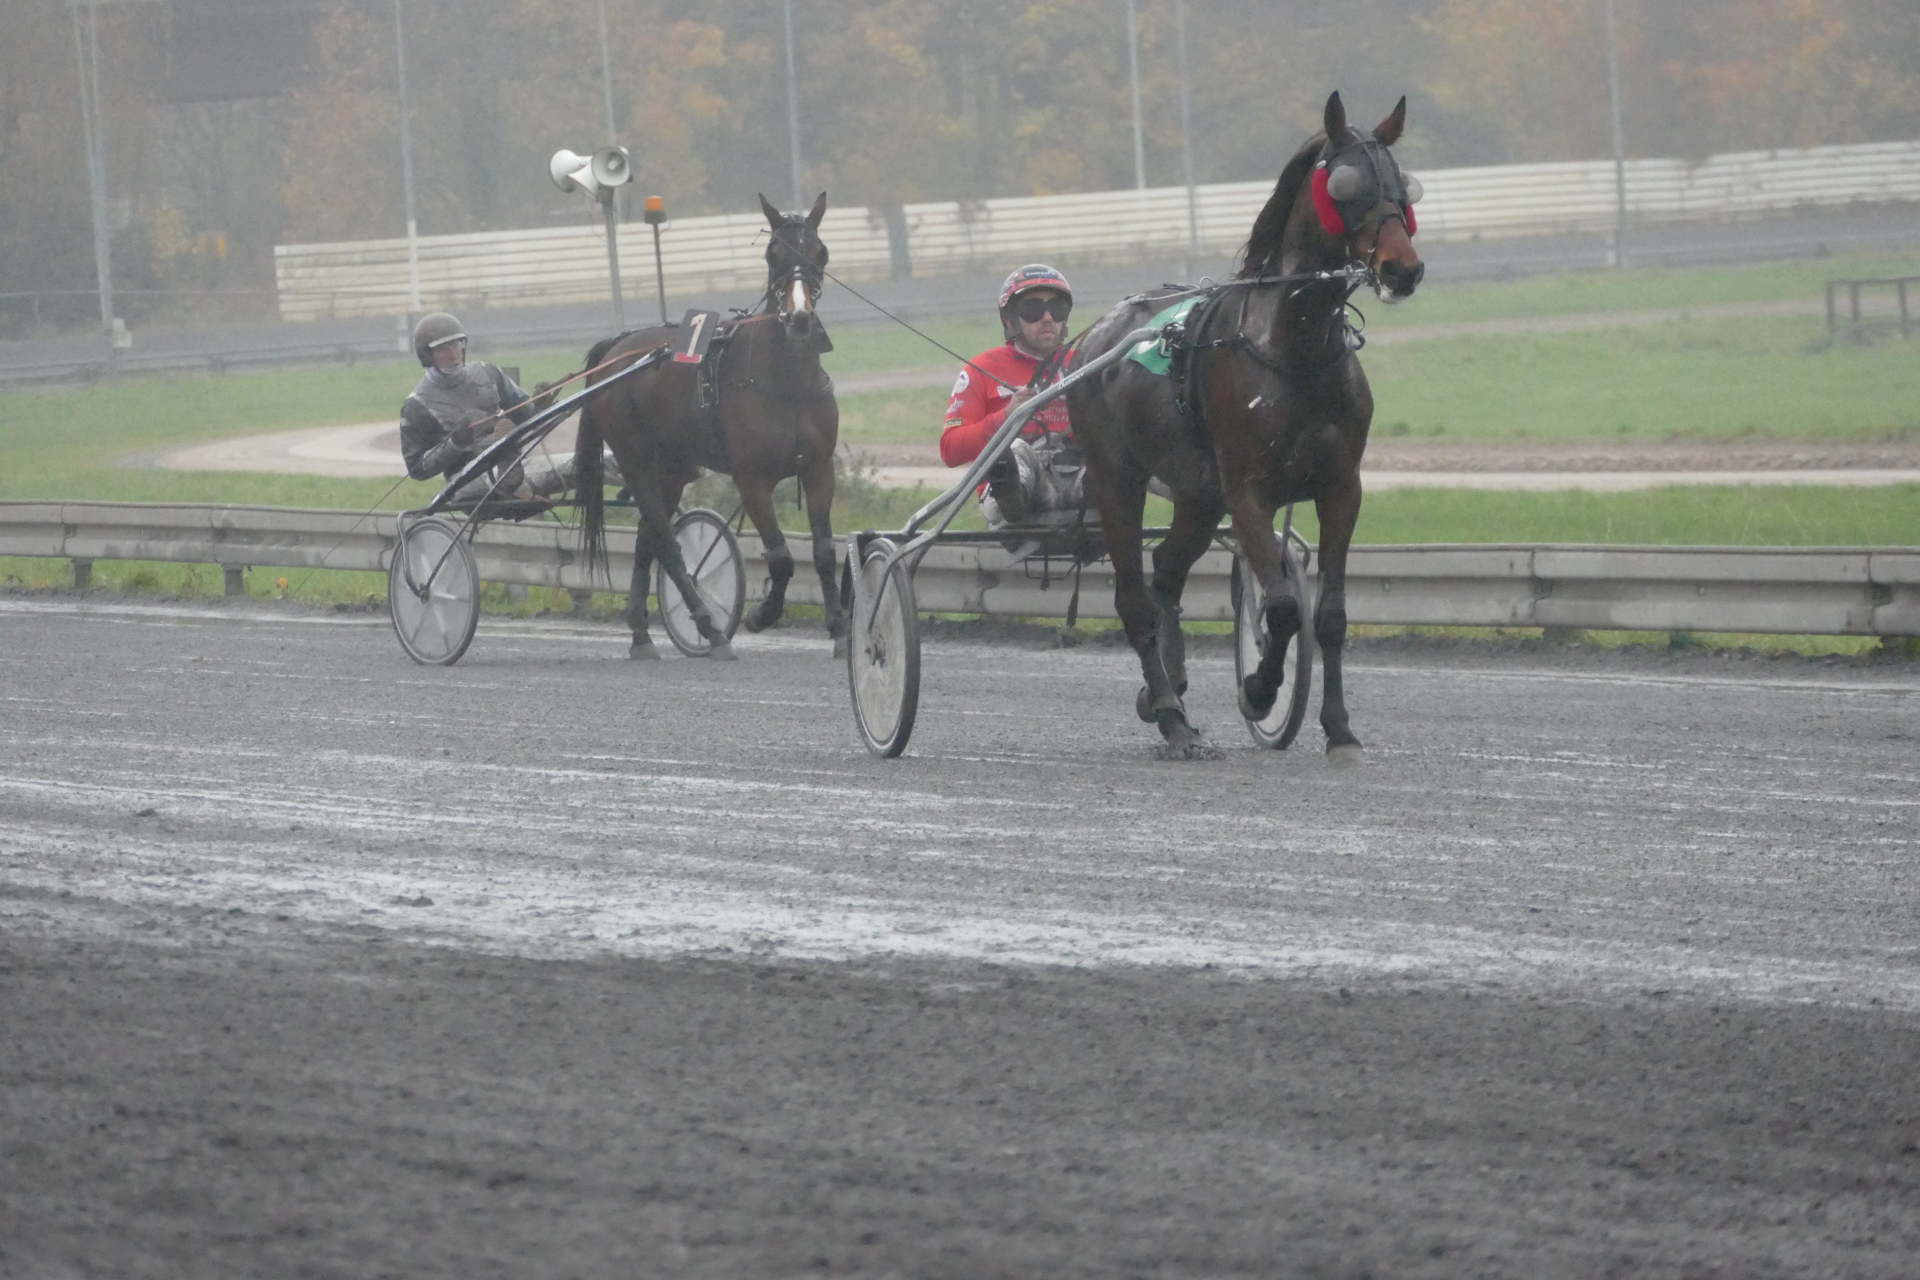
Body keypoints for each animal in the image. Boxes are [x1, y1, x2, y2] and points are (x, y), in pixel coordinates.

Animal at [573, 192, 844, 660]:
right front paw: (761, 614)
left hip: (672, 469)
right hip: (637, 462)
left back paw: (642, 634)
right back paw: (709, 628)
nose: (799, 319)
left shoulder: (818, 468)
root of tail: (618, 348)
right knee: (666, 543)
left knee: (648, 537)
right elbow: (780, 557)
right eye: (773, 253)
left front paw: (839, 628)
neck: (787, 383)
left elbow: (825, 552)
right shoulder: (751, 479)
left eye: (820, 251)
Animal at [1064, 92, 1425, 762]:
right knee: (1134, 600)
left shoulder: (1342, 487)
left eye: (1402, 184)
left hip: (1198, 496)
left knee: (1166, 572)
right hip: (1117, 479)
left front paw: (1339, 729)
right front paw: (1259, 691)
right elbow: (1281, 608)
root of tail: (1090, 340)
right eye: (1346, 185)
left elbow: (1330, 615)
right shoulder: (1247, 490)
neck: (1294, 350)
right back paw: (1173, 718)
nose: (1403, 268)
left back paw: (1167, 693)